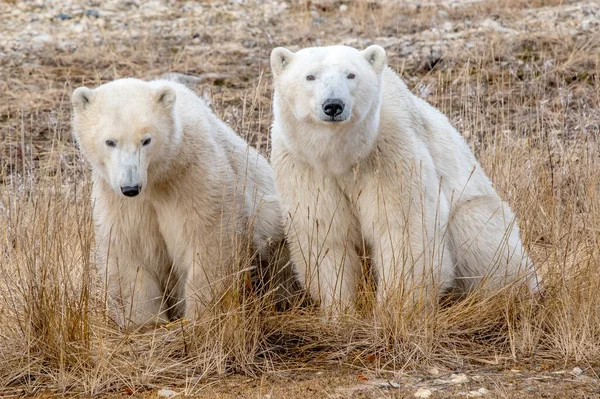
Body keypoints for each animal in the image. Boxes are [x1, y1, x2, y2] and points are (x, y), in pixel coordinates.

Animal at [71, 78, 288, 328]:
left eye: (146, 140)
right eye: (110, 141)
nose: (131, 187)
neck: (158, 176)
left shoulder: (193, 175)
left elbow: (207, 239)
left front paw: (200, 315)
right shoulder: (119, 199)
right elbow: (129, 248)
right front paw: (146, 322)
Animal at [268, 45, 540, 314]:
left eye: (351, 74)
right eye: (310, 77)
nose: (333, 105)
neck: (345, 156)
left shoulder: (390, 152)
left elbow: (402, 226)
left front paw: (394, 307)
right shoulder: (305, 166)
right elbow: (324, 233)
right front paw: (339, 310)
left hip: (484, 214)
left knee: (478, 234)